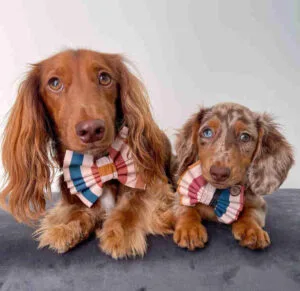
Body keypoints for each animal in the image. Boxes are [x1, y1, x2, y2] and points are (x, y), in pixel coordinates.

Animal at [0, 50, 173, 260]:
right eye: (54, 83)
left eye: (104, 78)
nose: (91, 130)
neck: (99, 165)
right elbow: (76, 211)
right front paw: (65, 227)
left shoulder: (156, 188)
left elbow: (132, 204)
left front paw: (120, 233)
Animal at [173, 102, 292, 251]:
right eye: (207, 132)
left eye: (245, 137)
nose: (219, 173)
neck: (217, 194)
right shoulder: (179, 197)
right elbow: (185, 209)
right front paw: (190, 229)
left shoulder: (258, 204)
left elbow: (250, 213)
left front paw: (252, 230)